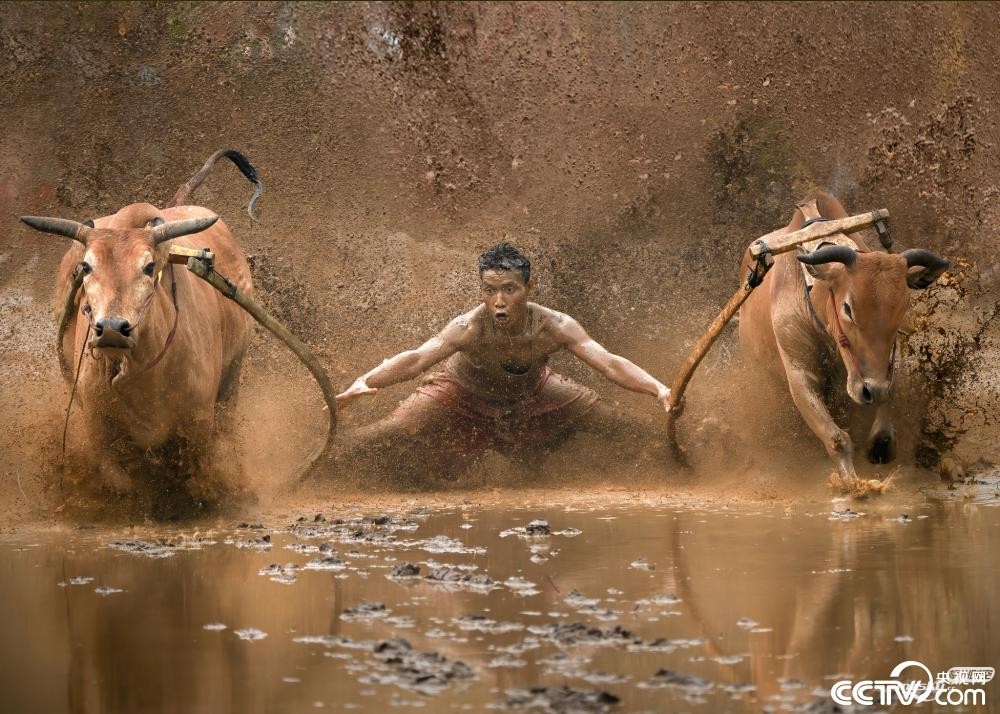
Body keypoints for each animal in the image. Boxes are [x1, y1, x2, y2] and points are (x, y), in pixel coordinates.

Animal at [23, 148, 262, 504]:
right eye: (87, 266)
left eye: (149, 267)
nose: (111, 328)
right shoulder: (96, 423)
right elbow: (119, 479)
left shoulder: (198, 419)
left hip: (233, 375)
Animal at [740, 192, 948, 486]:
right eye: (847, 308)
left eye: (903, 306)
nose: (872, 389)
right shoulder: (800, 375)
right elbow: (836, 438)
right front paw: (852, 483)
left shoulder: (891, 363)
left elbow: (884, 429)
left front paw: (879, 446)